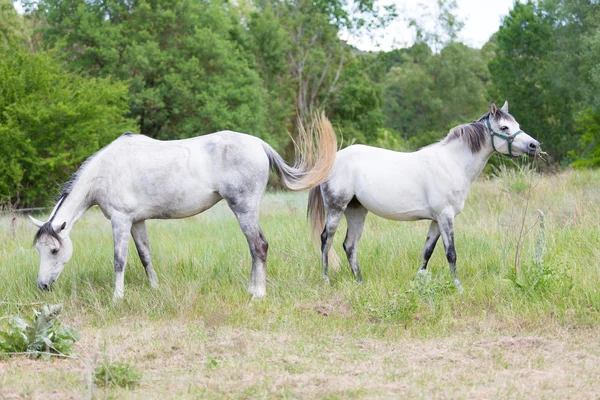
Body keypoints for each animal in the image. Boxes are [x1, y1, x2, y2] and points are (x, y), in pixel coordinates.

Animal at [31, 112, 338, 296]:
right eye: (39, 250)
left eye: (55, 250)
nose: (42, 285)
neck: (105, 171)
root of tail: (259, 145)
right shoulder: (137, 221)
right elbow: (145, 256)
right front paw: (154, 289)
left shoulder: (121, 220)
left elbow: (119, 260)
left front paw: (117, 297)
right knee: (255, 248)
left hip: (244, 209)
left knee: (259, 246)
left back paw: (257, 293)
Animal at [310, 101, 544, 290]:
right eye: (504, 127)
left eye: (517, 125)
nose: (535, 145)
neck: (453, 163)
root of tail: (332, 160)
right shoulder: (445, 216)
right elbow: (451, 253)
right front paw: (458, 287)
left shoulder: (436, 220)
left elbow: (427, 252)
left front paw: (418, 283)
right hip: (336, 208)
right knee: (326, 240)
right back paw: (326, 280)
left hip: (357, 211)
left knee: (350, 245)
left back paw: (359, 281)